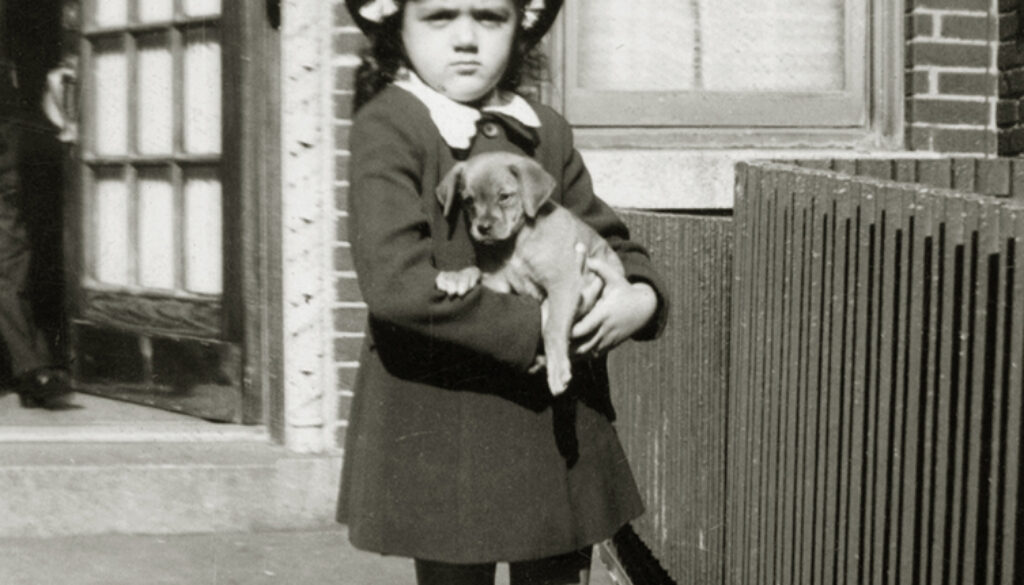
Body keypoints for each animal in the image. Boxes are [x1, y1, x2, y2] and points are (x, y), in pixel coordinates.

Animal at [434, 152, 622, 397]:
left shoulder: (564, 282)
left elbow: (553, 327)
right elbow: (476, 270)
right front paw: (457, 276)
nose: (482, 228)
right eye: (468, 201)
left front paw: (558, 370)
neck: (518, 241)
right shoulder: (500, 284)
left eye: (504, 196)